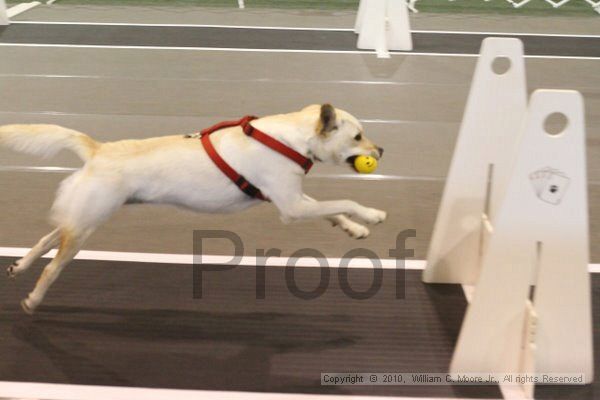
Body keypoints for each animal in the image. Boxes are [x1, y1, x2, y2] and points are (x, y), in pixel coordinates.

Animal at [0, 104, 384, 314]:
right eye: (357, 136)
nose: (381, 150)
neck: (288, 140)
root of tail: (98, 149)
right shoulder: (291, 206)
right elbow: (344, 201)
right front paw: (372, 214)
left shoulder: (296, 199)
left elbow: (333, 210)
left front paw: (354, 228)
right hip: (85, 226)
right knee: (53, 266)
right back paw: (33, 299)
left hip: (83, 218)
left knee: (47, 238)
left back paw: (20, 265)